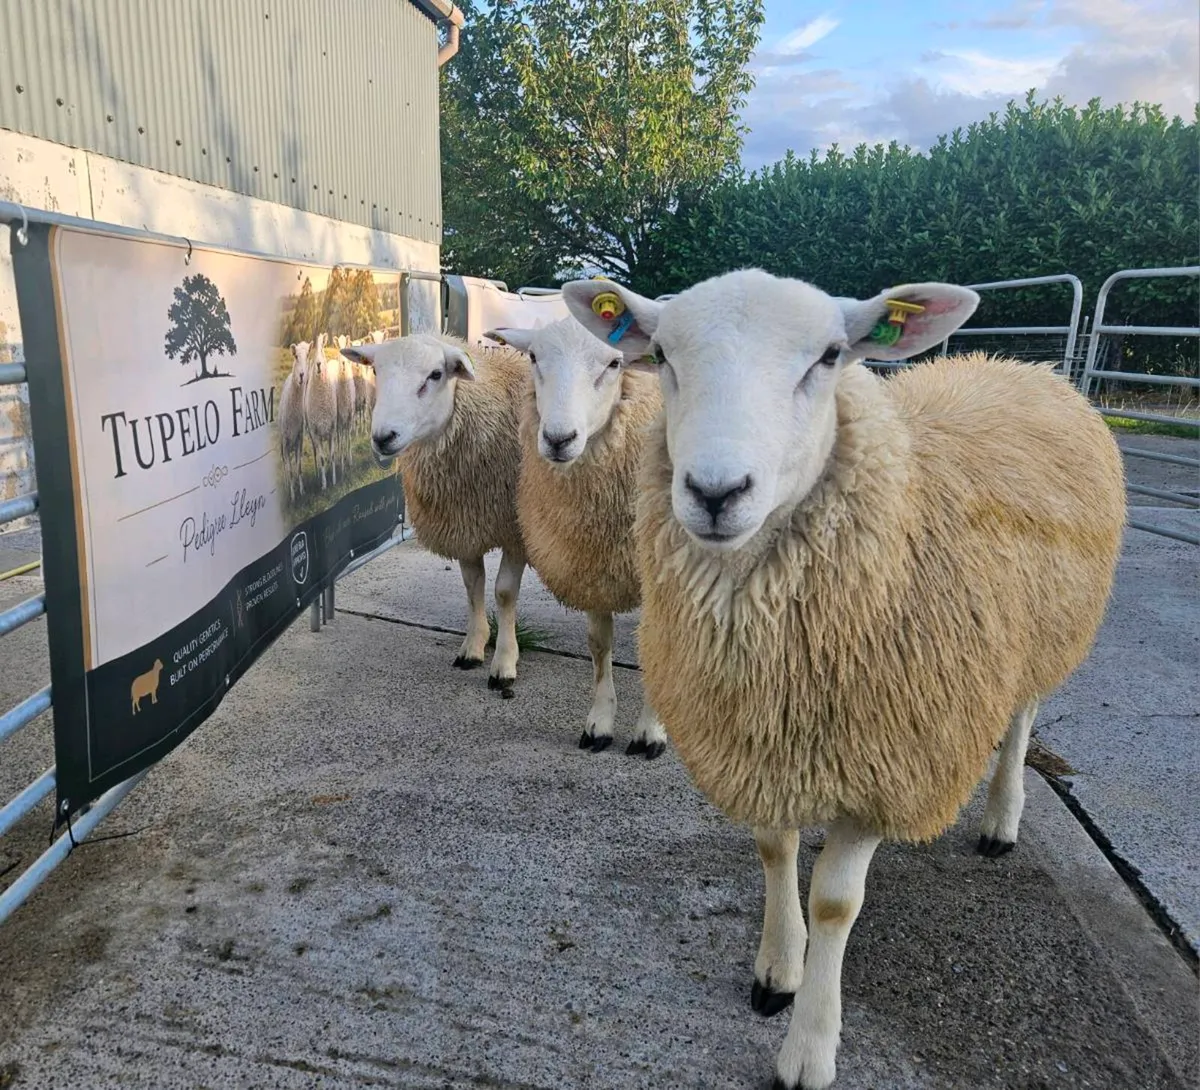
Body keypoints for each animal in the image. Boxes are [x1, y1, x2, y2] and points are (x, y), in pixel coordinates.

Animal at [340, 333, 529, 694]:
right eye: (376, 371)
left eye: (435, 374)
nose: (383, 438)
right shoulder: (464, 522)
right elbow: (473, 586)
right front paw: (473, 646)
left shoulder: (517, 530)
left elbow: (503, 592)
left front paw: (504, 662)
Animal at [485, 318, 668, 758]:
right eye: (534, 356)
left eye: (615, 363)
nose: (558, 438)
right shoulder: (593, 560)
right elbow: (599, 645)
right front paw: (599, 723)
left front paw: (651, 732)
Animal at [562, 270, 1126, 1090]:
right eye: (661, 354)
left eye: (830, 356)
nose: (716, 491)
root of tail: (1017, 364)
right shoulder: (759, 739)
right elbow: (774, 850)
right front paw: (777, 970)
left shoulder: (885, 760)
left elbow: (834, 901)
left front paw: (808, 1046)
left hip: (1043, 634)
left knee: (1020, 717)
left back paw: (1000, 818)